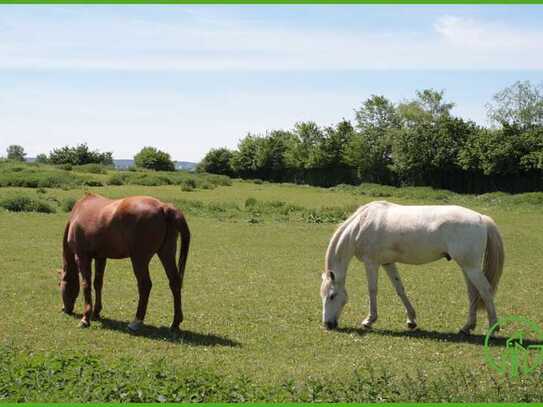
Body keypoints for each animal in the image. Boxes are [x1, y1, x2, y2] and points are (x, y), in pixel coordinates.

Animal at [59, 193, 190, 334]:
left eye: (59, 284)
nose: (65, 309)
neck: (78, 213)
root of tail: (163, 207)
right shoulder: (101, 257)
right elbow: (98, 283)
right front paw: (96, 312)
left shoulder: (82, 257)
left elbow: (86, 284)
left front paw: (85, 319)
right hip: (166, 253)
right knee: (174, 282)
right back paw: (175, 323)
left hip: (139, 259)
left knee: (145, 285)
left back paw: (136, 322)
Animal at [318, 202, 506, 336]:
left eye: (332, 295)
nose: (327, 325)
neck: (360, 225)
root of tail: (481, 218)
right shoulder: (388, 263)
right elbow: (400, 289)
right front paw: (411, 320)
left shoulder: (371, 263)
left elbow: (372, 290)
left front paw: (369, 320)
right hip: (467, 267)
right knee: (473, 293)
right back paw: (467, 327)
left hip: (470, 267)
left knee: (485, 291)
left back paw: (492, 328)